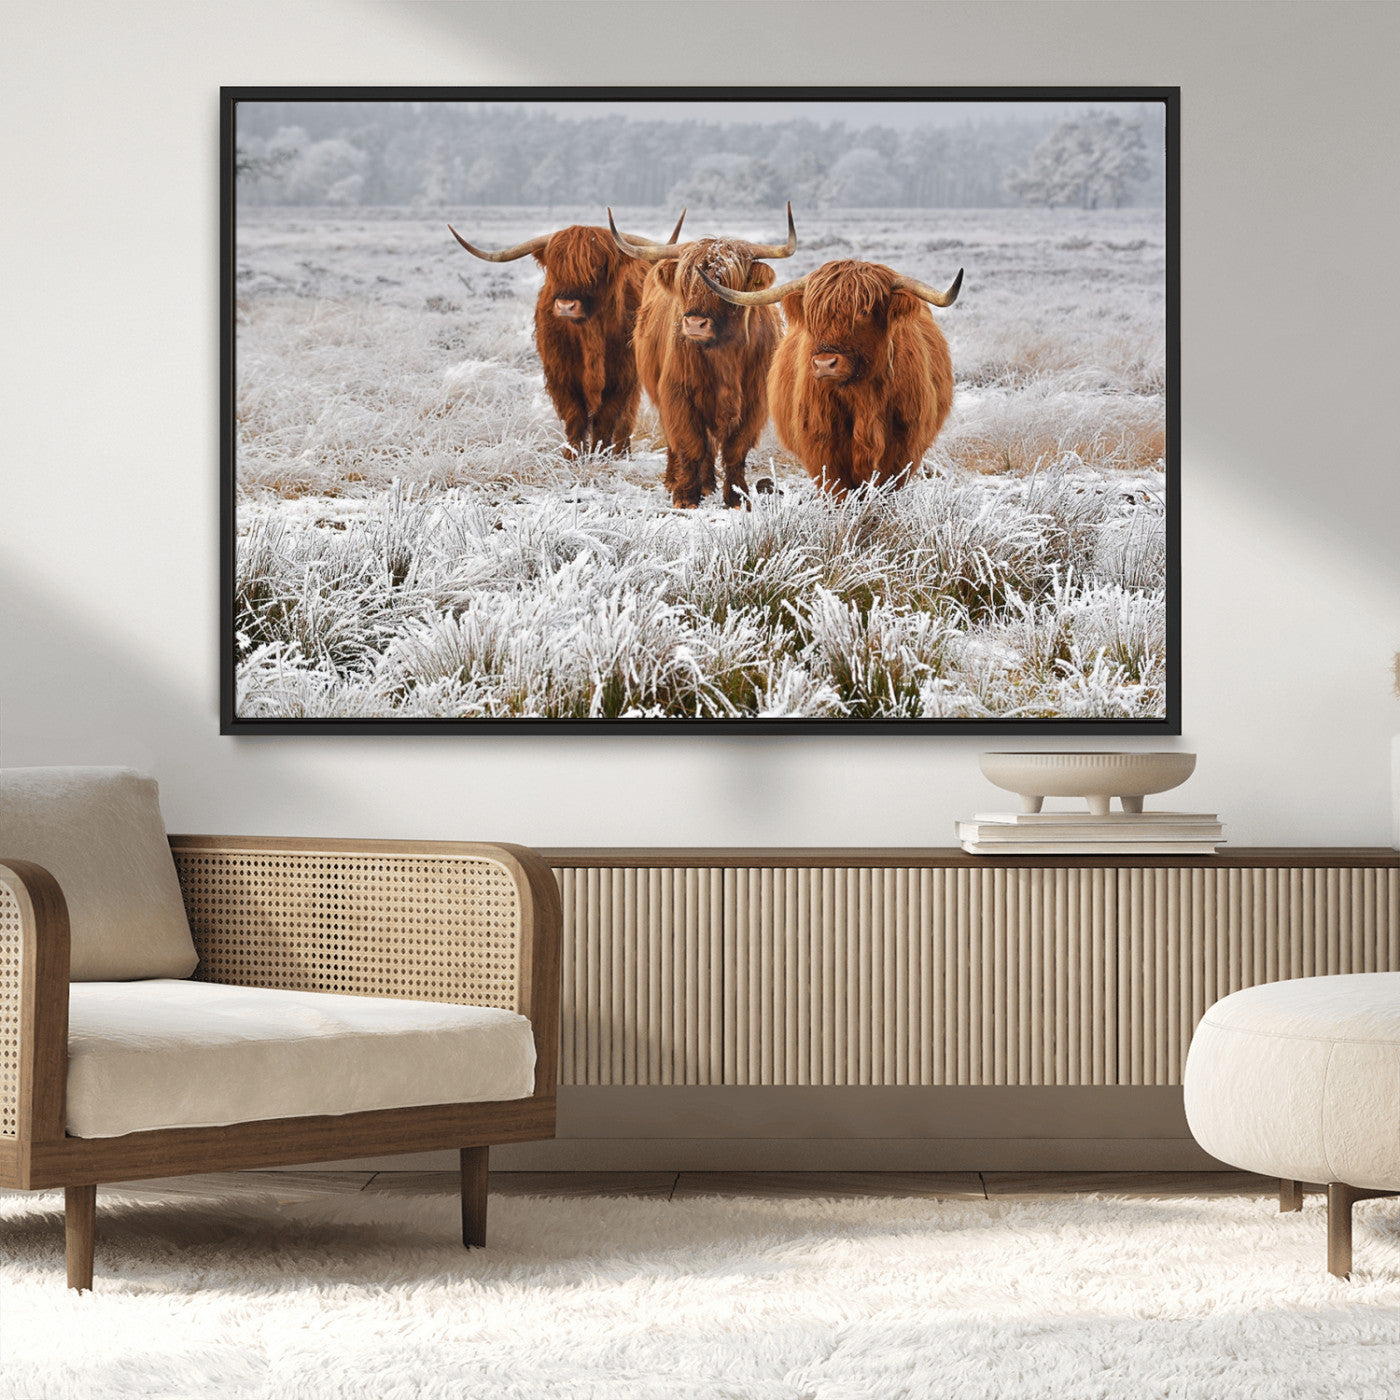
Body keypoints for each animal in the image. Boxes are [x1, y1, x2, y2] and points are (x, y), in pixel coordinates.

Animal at [448, 213, 685, 458]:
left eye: (598, 266)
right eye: (555, 267)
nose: (565, 306)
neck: (590, 335)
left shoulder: (623, 375)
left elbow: (606, 418)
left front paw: (600, 455)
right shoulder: (561, 374)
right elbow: (575, 416)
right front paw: (572, 456)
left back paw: (622, 452)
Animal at [608, 204, 798, 508]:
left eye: (726, 282)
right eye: (685, 282)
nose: (695, 323)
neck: (724, 355)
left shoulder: (754, 402)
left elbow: (735, 450)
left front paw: (737, 497)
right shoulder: (678, 394)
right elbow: (690, 444)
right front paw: (685, 496)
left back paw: (708, 484)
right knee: (681, 442)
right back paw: (677, 481)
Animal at [699, 258, 963, 496]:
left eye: (864, 311)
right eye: (813, 314)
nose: (825, 363)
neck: (862, 398)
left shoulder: (903, 449)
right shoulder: (822, 448)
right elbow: (838, 492)